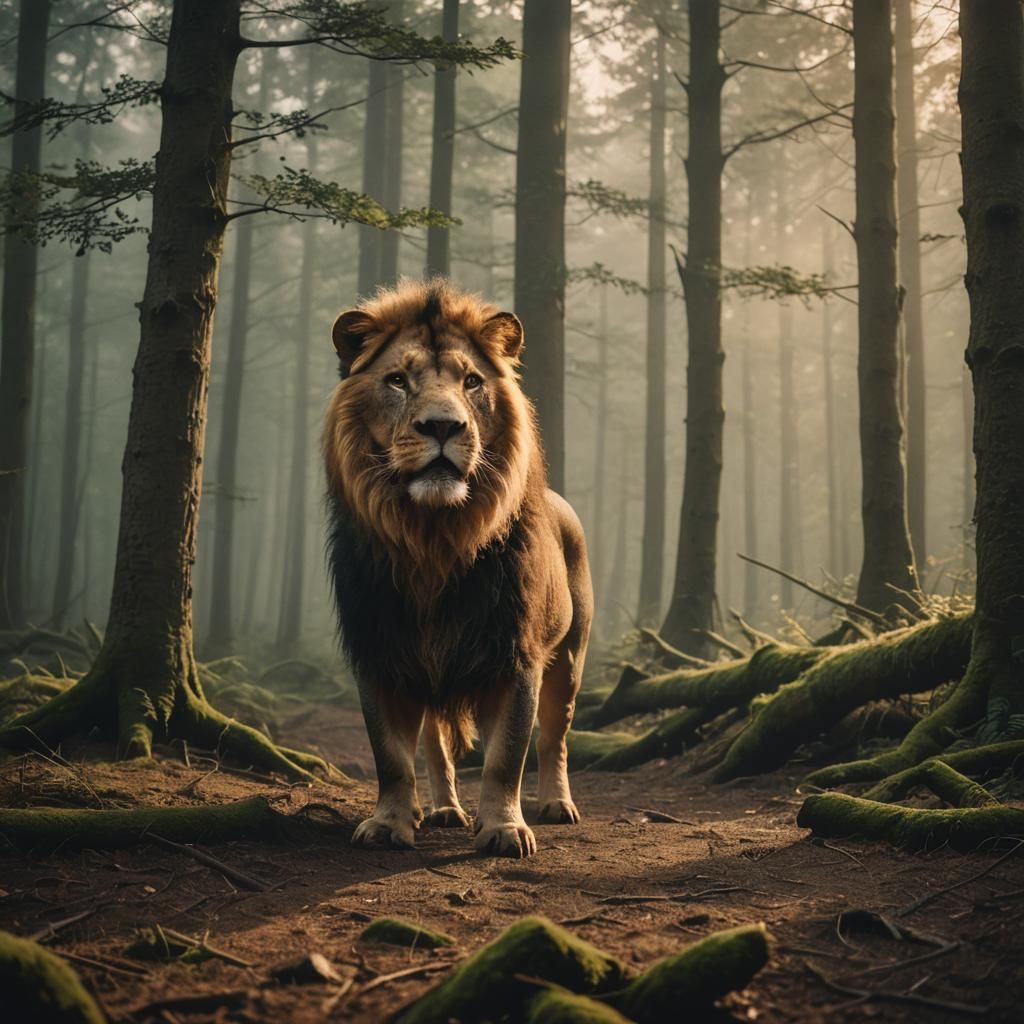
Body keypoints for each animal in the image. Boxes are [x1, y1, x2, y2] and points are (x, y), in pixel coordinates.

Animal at [323, 279, 592, 859]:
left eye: (471, 381)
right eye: (397, 380)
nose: (443, 426)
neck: (434, 542)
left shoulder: (517, 657)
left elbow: (506, 757)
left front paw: (505, 830)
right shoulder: (379, 654)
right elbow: (392, 758)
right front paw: (388, 824)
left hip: (570, 658)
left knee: (554, 739)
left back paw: (555, 804)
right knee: (435, 745)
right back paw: (445, 809)